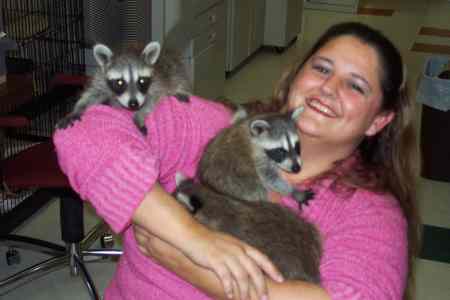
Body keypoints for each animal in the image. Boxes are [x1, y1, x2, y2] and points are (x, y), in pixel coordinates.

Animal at [55, 40, 191, 134]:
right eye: (120, 82)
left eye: (141, 81)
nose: (134, 104)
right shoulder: (101, 78)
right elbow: (92, 94)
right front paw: (76, 110)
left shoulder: (156, 83)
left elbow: (151, 100)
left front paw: (138, 116)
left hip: (173, 67)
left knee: (177, 75)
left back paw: (180, 89)